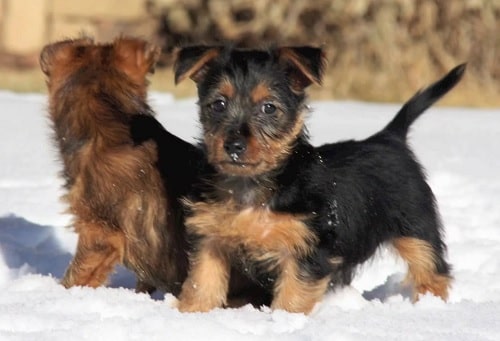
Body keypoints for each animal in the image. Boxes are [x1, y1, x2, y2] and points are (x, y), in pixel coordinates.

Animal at [173, 45, 464, 314]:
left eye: (269, 108)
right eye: (218, 104)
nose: (233, 146)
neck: (251, 185)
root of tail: (388, 137)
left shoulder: (306, 249)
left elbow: (293, 294)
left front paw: (284, 321)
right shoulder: (210, 240)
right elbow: (202, 282)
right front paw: (192, 313)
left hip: (415, 225)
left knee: (431, 267)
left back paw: (429, 306)